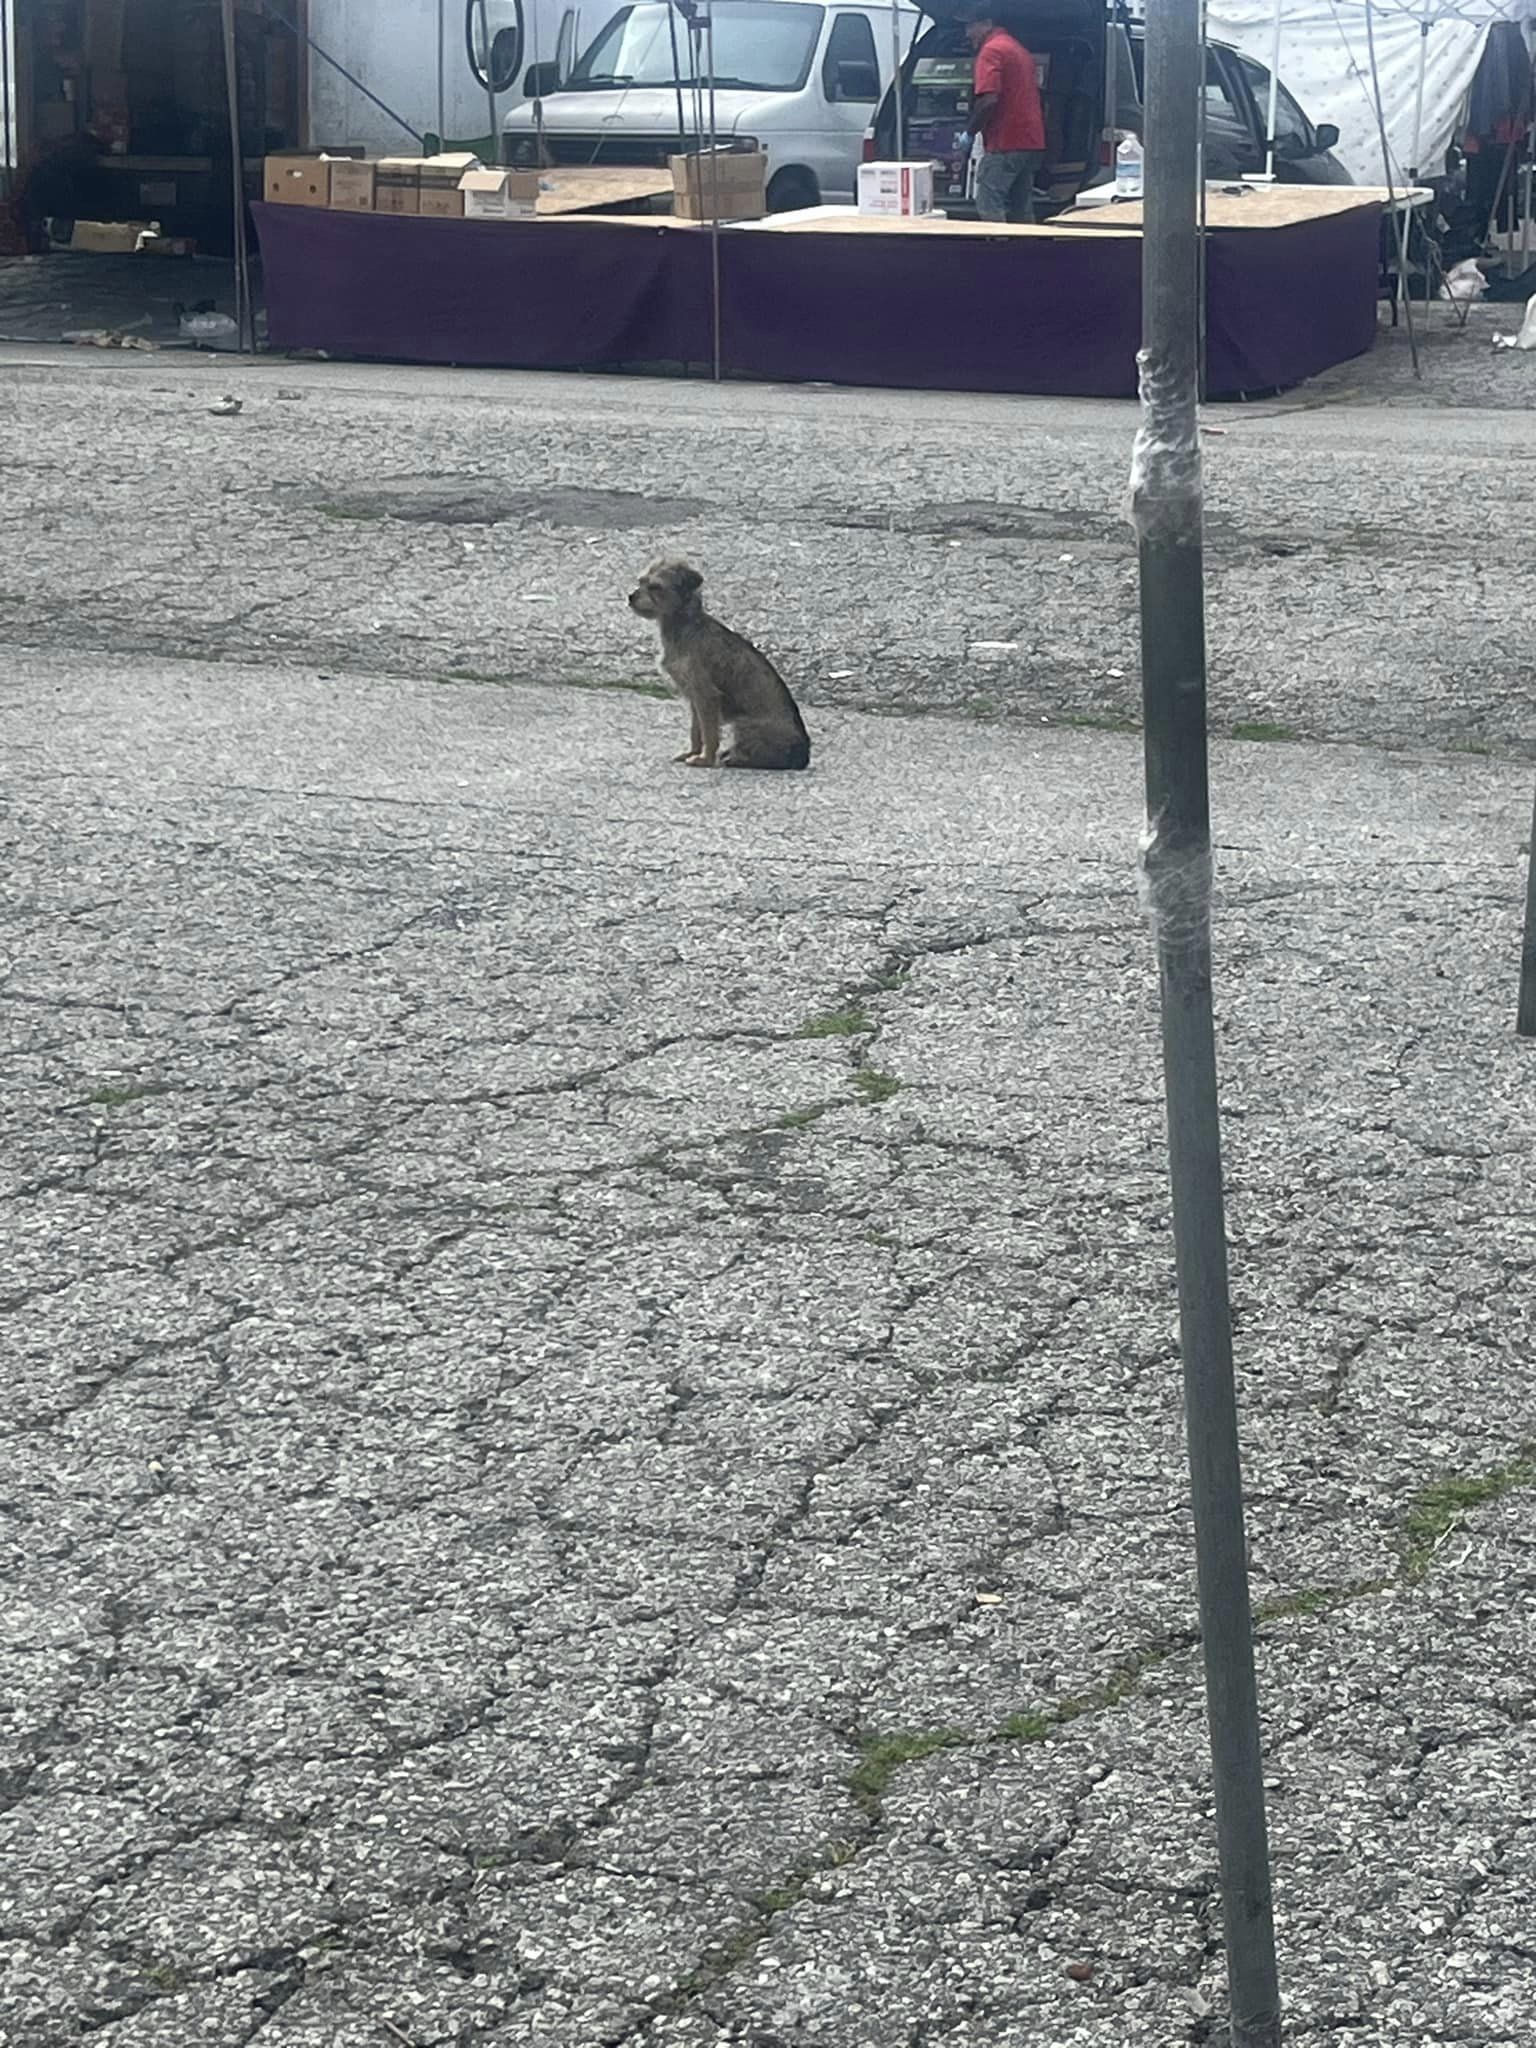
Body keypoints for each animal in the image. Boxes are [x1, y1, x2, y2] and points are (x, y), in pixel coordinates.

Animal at [626, 557, 811, 770]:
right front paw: (692, 752)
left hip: (739, 724)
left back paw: (735, 758)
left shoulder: (706, 696)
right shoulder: (695, 699)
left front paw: (705, 759)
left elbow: (710, 734)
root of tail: (803, 755)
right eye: (640, 581)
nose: (630, 596)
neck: (684, 626)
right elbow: (696, 731)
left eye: (656, 587)